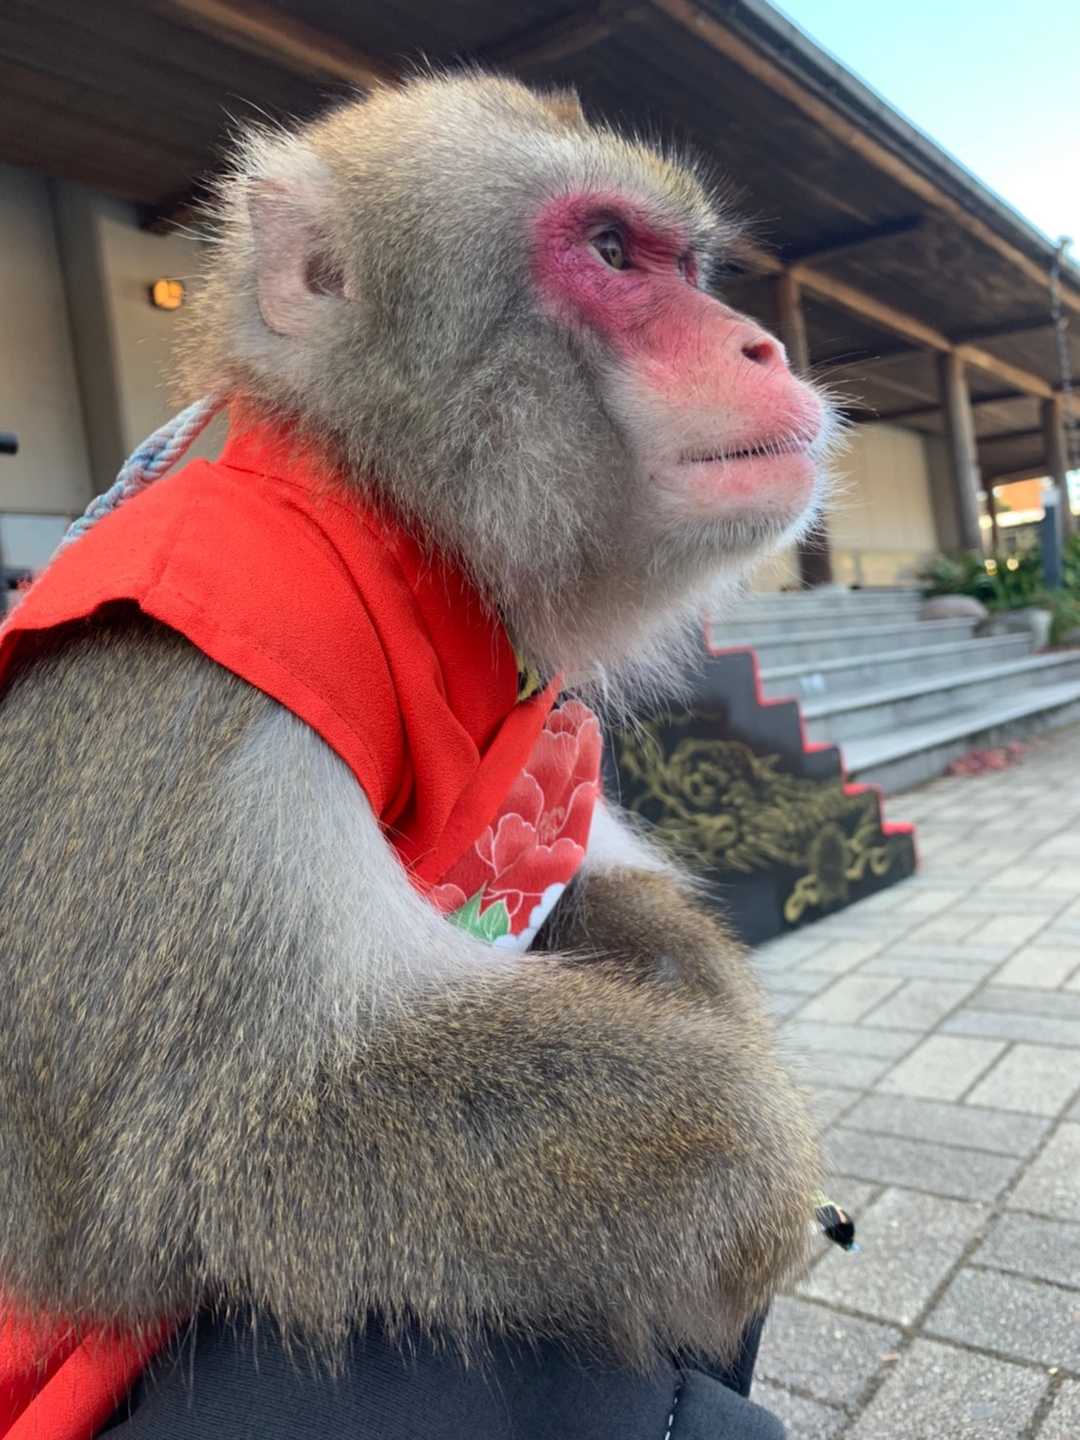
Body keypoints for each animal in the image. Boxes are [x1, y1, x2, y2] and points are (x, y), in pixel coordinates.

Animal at [0, 71, 833, 1421]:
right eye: (613, 252)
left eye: (688, 265)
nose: (762, 346)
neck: (380, 509)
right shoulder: (193, 695)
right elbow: (227, 1134)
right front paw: (752, 1188)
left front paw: (675, 966)